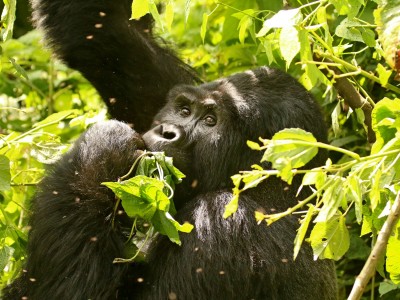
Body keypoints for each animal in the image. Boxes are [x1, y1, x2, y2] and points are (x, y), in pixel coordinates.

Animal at [4, 0, 338, 300]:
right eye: (184, 109)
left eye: (210, 121)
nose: (167, 131)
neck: (275, 195)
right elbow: (103, 33)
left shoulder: (221, 224)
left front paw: (101, 150)